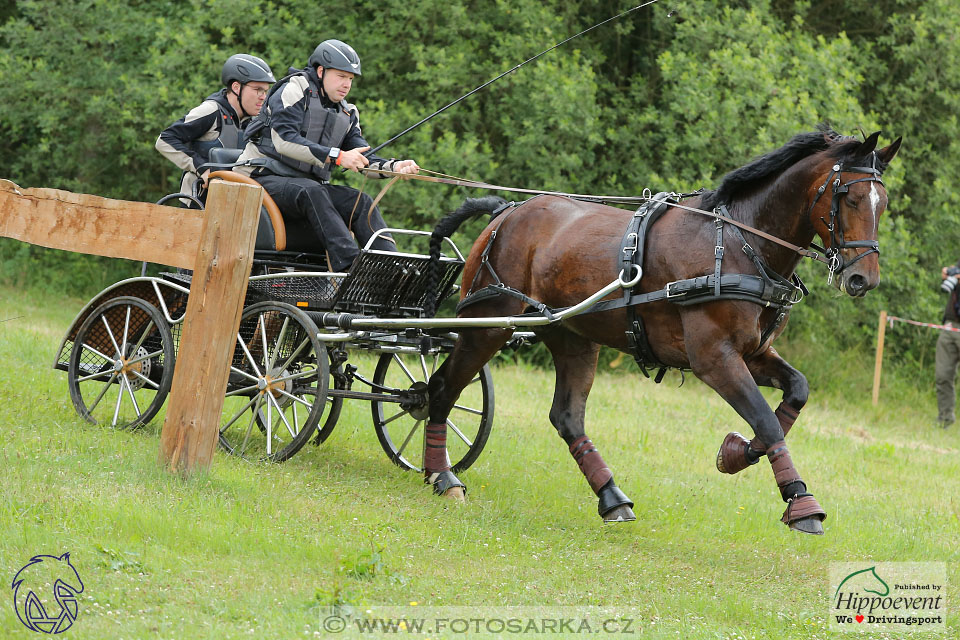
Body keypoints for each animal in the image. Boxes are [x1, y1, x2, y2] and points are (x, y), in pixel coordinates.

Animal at [422, 126, 900, 536]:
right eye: (850, 196)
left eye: (883, 201)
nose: (863, 279)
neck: (740, 247)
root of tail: (506, 212)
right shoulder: (714, 359)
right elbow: (766, 419)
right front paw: (801, 503)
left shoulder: (752, 354)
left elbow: (795, 394)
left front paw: (736, 453)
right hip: (488, 324)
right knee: (442, 388)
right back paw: (443, 475)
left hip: (571, 335)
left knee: (566, 416)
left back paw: (612, 497)